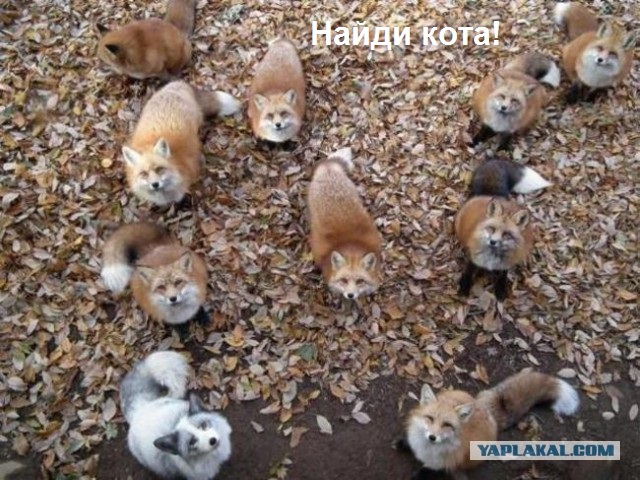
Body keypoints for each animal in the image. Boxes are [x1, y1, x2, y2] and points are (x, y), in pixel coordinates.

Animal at [395, 369, 580, 480]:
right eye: (430, 418)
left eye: (447, 425)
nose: (432, 437)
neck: (427, 449)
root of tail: (487, 411)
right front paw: (403, 444)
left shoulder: (438, 465)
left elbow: (423, 472)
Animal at [455, 160, 551, 300]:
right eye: (491, 229)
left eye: (507, 234)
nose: (493, 242)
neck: (492, 259)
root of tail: (492, 194)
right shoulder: (473, 259)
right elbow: (468, 273)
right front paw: (464, 288)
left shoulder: (506, 264)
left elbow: (502, 277)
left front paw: (500, 291)